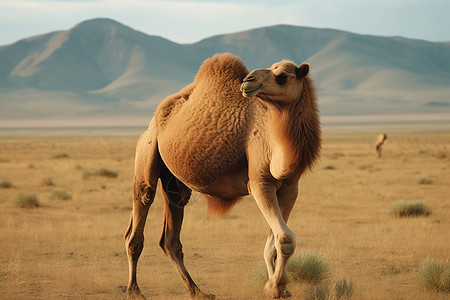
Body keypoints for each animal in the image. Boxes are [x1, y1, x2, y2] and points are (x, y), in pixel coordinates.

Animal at [123, 52, 320, 298]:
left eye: (282, 76)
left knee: (170, 238)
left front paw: (279, 288)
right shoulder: (260, 183)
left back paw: (197, 291)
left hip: (175, 183)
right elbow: (284, 239)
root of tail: (152, 123)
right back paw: (135, 291)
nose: (248, 81)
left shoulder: (290, 188)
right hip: (147, 151)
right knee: (141, 208)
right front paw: (275, 287)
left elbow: (273, 243)